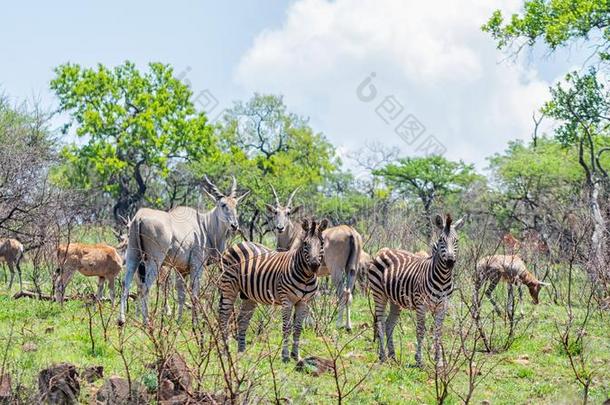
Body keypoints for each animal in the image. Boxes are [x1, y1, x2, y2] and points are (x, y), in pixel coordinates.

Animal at [119, 176, 247, 326]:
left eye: (235, 205)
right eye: (223, 205)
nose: (234, 225)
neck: (205, 225)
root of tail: (139, 216)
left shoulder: (180, 269)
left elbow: (181, 294)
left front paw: (179, 321)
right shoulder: (197, 265)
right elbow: (195, 292)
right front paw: (195, 323)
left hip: (134, 256)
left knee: (126, 283)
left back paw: (121, 320)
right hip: (154, 261)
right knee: (145, 287)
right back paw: (146, 322)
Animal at [216, 218, 326, 360]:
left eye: (322, 243)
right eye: (305, 244)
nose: (314, 265)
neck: (306, 276)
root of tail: (237, 244)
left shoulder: (304, 302)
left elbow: (298, 328)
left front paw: (296, 356)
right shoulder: (287, 301)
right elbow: (286, 327)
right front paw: (285, 356)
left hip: (248, 295)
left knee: (242, 320)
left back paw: (242, 352)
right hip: (228, 287)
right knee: (224, 317)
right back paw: (225, 352)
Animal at [368, 215, 464, 366]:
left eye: (456, 241)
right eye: (441, 240)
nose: (450, 262)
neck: (442, 279)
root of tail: (383, 250)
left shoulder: (443, 306)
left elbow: (438, 332)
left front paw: (439, 361)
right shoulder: (421, 305)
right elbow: (420, 331)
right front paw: (419, 360)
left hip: (395, 299)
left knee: (389, 324)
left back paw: (393, 355)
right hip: (379, 293)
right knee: (380, 323)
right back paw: (383, 356)